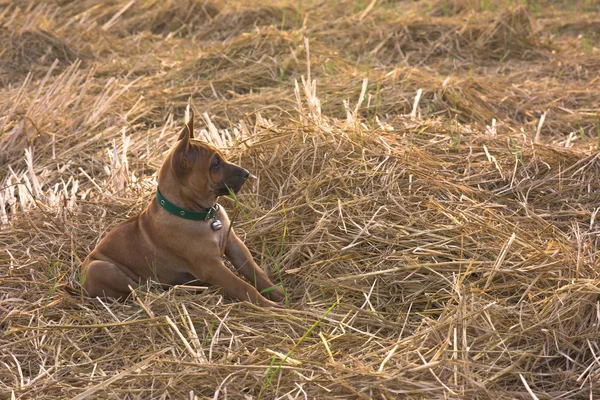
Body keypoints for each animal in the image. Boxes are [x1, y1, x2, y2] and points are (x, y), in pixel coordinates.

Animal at [81, 111, 284, 308]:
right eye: (215, 163)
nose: (246, 174)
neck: (202, 215)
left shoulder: (235, 246)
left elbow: (255, 272)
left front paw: (278, 293)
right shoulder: (211, 266)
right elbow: (242, 286)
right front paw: (269, 306)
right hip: (101, 268)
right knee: (137, 291)